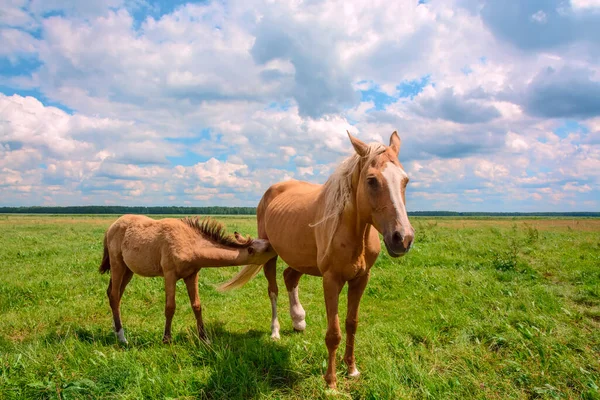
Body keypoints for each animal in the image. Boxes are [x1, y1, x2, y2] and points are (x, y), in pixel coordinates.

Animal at [99, 216, 276, 344]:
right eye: (267, 248)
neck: (189, 243)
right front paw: (166, 339)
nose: (277, 246)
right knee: (114, 295)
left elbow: (197, 305)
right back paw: (122, 337)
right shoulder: (169, 275)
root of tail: (110, 227)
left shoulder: (192, 275)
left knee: (114, 294)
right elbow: (170, 307)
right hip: (117, 265)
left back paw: (115, 328)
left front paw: (204, 338)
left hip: (128, 270)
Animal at [219, 133, 412, 390]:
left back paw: (298, 320)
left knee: (290, 277)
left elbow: (352, 324)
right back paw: (275, 331)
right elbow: (334, 333)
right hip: (270, 252)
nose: (403, 238)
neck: (353, 231)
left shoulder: (361, 279)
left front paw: (352, 369)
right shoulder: (331, 280)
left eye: (405, 180)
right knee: (273, 290)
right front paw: (331, 382)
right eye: (371, 180)